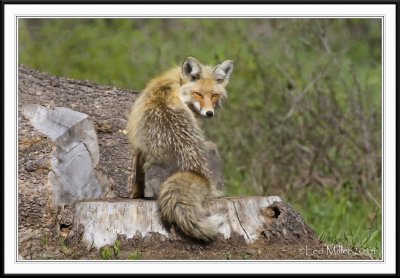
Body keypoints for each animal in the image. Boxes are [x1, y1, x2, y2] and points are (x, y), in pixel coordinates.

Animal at [128, 56, 233, 241]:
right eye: (198, 94)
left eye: (214, 95)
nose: (209, 113)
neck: (170, 86)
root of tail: (194, 171)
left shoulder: (140, 146)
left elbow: (137, 176)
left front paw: (134, 194)